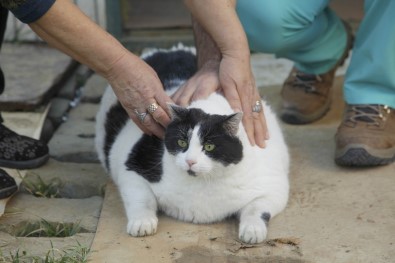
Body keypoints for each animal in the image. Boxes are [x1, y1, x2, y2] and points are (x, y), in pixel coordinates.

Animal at [94, 44, 290, 244]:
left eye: (209, 146)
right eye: (182, 142)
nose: (190, 161)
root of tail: (173, 50)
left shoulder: (274, 185)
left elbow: (256, 209)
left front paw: (253, 229)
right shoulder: (132, 167)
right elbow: (142, 198)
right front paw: (143, 222)